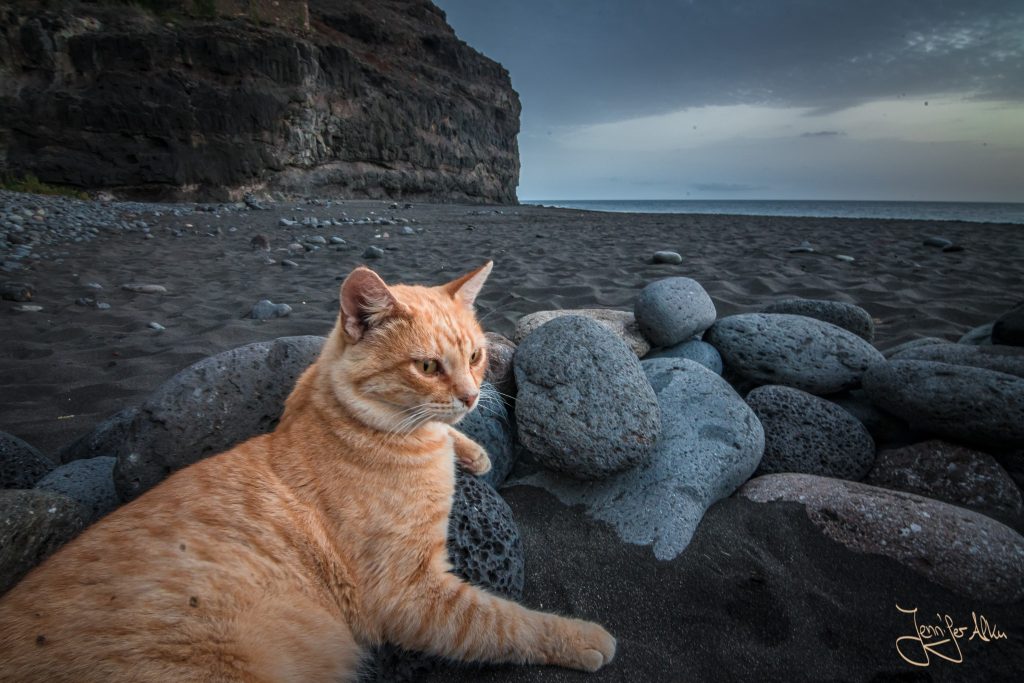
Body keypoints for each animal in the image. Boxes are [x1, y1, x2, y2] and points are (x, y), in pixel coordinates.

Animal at [0, 264, 614, 683]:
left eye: (477, 357)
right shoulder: (410, 595)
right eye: (427, 366)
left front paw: (472, 449)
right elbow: (504, 624)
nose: (469, 396)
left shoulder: (305, 384)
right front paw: (578, 637)